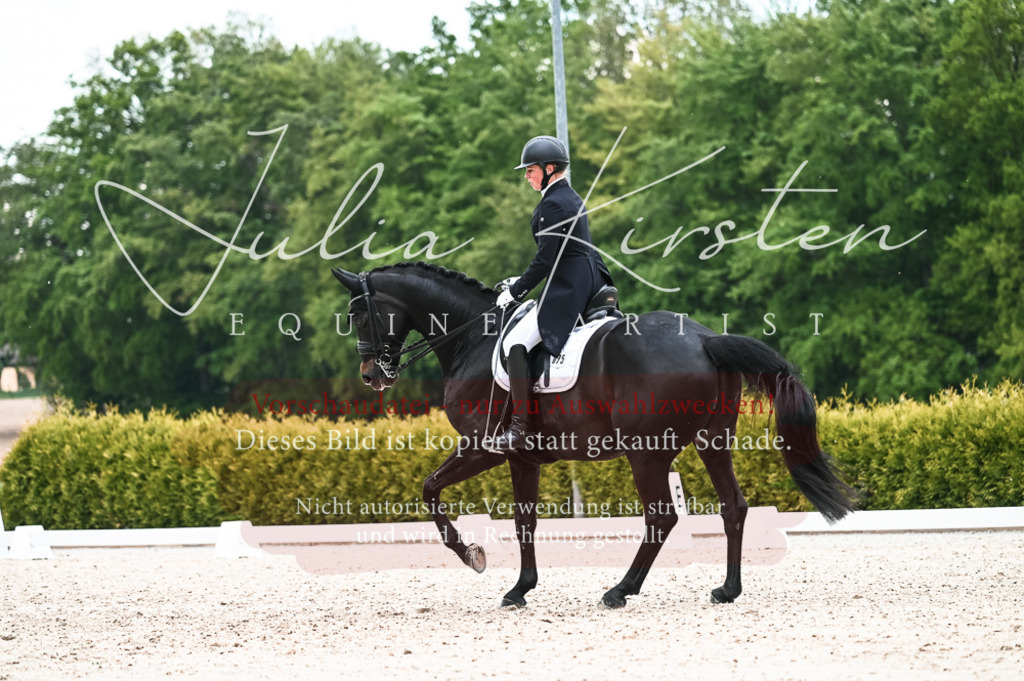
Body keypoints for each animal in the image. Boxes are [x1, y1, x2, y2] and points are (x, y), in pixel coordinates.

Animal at [332, 262, 855, 608]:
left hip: (647, 453)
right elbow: (524, 521)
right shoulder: (522, 458)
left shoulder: (485, 448)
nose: (371, 375)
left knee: (662, 517)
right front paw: (520, 588)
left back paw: (620, 590)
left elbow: (430, 489)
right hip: (713, 442)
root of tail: (708, 339)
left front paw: (472, 555)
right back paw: (727, 590)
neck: (473, 339)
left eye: (360, 315)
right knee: (733, 507)